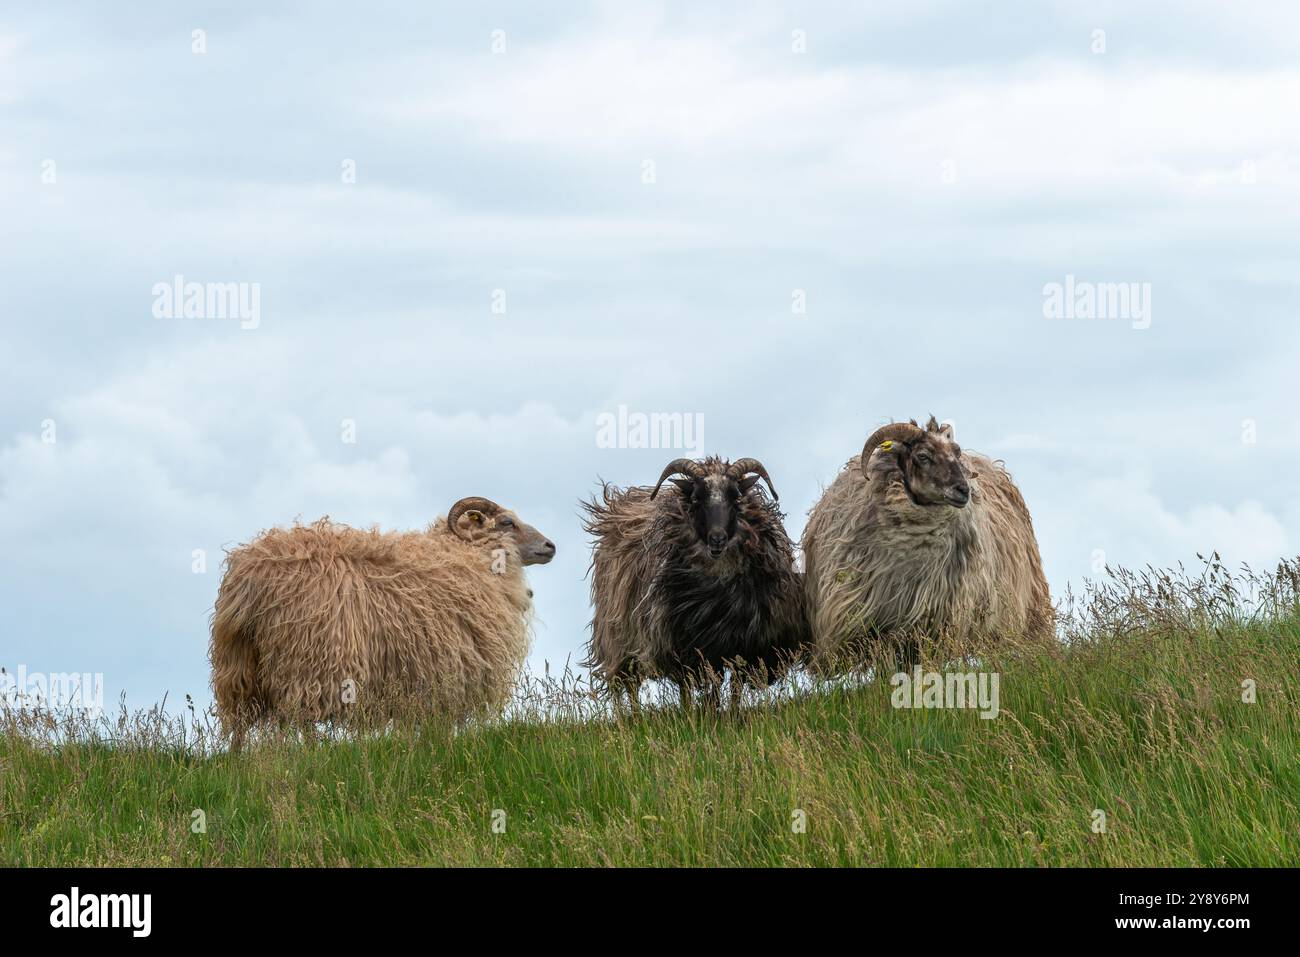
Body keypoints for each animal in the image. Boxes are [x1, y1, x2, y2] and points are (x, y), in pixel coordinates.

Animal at [210, 497, 555, 749]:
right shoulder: (452, 665)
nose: (550, 546)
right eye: (508, 522)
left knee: (240, 719)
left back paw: (238, 764)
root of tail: (251, 574)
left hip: (239, 660)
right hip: (304, 659)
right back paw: (310, 756)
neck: (472, 557)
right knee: (301, 715)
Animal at [581, 456, 808, 712]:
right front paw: (700, 712)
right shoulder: (685, 643)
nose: (717, 539)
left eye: (736, 497)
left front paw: (730, 713)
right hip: (618, 639)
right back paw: (635, 716)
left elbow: (734, 685)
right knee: (629, 684)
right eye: (696, 499)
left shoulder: (744, 642)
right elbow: (695, 686)